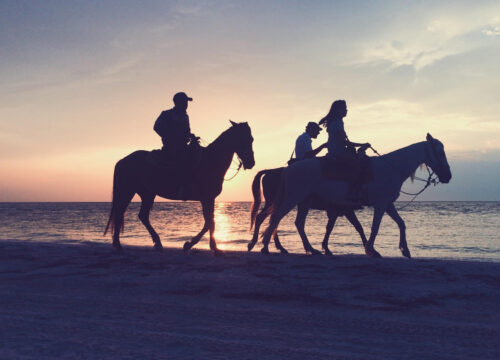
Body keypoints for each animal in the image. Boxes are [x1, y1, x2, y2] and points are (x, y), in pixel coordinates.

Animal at [104, 121, 256, 253]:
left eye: (251, 138)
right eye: (246, 139)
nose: (251, 162)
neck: (211, 161)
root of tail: (122, 160)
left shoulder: (210, 199)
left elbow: (210, 222)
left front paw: (206, 246)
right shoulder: (205, 198)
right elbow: (209, 222)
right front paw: (194, 245)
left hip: (147, 194)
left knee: (141, 215)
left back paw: (155, 243)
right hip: (128, 191)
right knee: (120, 213)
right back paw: (119, 244)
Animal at [262, 134, 454, 258]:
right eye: (440, 152)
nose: (447, 176)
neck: (391, 168)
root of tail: (288, 169)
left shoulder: (387, 204)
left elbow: (401, 223)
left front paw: (405, 250)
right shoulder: (380, 204)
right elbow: (375, 227)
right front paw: (371, 250)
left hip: (304, 201)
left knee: (297, 223)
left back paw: (310, 249)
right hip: (292, 198)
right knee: (276, 217)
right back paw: (265, 247)